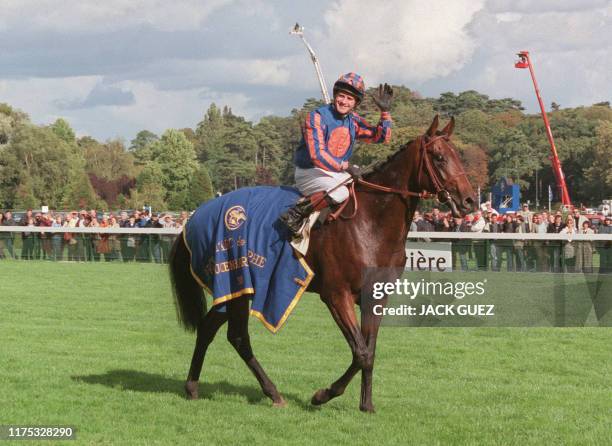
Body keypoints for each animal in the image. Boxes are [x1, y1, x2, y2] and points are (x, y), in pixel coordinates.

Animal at [170, 115, 476, 412]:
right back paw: (271, 392)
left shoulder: (376, 295)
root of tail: (193, 217)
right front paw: (323, 395)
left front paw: (366, 404)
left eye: (458, 155)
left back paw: (195, 387)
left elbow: (370, 350)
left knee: (210, 328)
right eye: (439, 157)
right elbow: (361, 352)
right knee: (238, 337)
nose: (470, 200)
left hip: (235, 288)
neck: (370, 222)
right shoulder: (336, 294)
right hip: (235, 280)